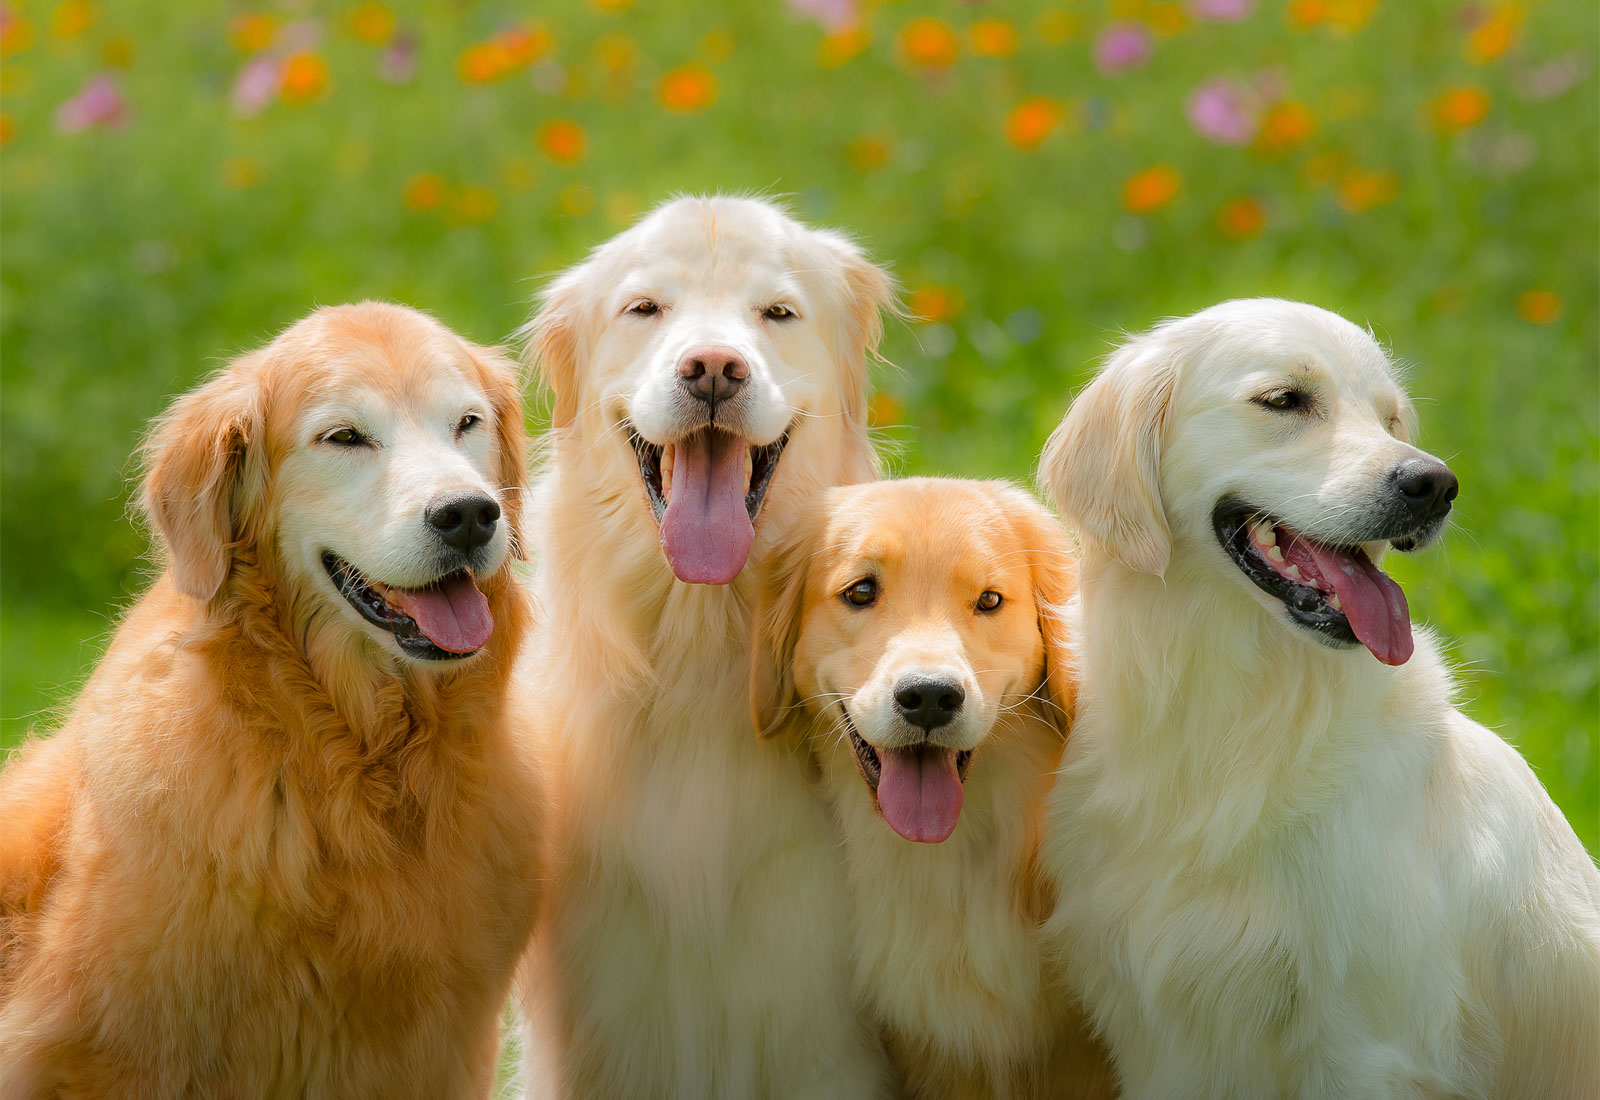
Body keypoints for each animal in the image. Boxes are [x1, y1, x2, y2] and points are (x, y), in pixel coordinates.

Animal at [1036, 298, 1600, 1100]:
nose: (1436, 485)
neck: (1235, 712)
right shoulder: (1157, 1029)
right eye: (1285, 400)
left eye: (1391, 420)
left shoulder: (1366, 1043)